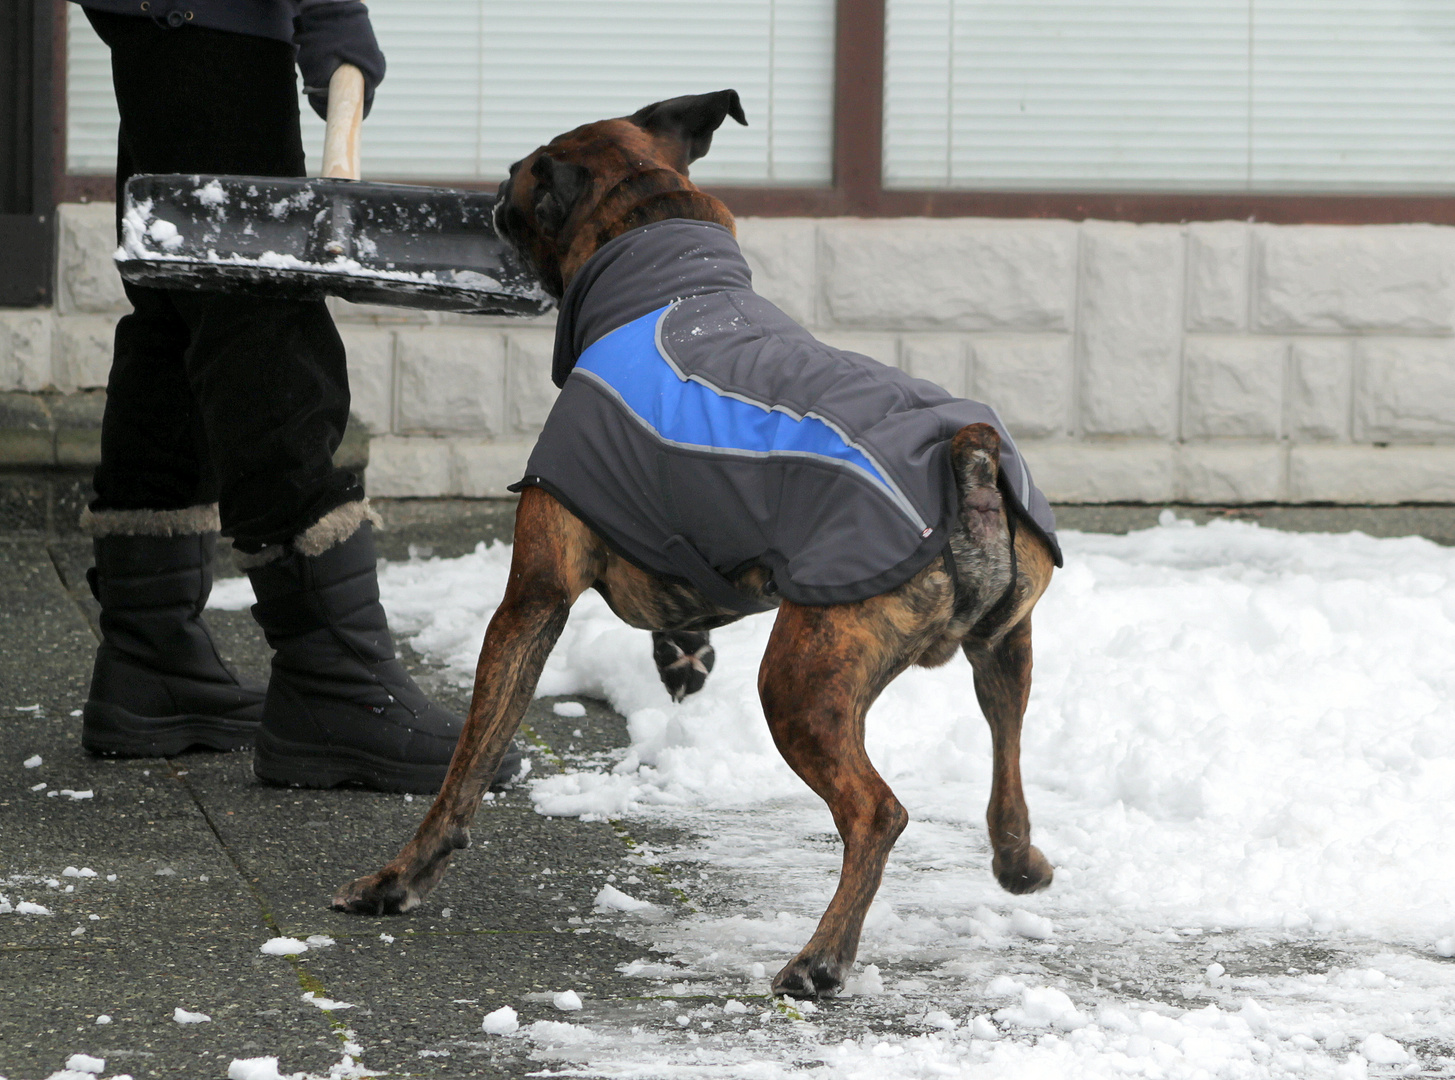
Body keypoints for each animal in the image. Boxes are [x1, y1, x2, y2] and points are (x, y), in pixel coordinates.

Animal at [333, 88, 1059, 1001]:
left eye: (519, 177)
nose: (492, 194)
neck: (664, 276)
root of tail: (965, 461)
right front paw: (682, 653)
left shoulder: (532, 599)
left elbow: (465, 770)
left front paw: (397, 880)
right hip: (1004, 653)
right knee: (1007, 768)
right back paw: (1018, 862)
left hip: (801, 685)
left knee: (877, 811)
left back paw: (820, 958)